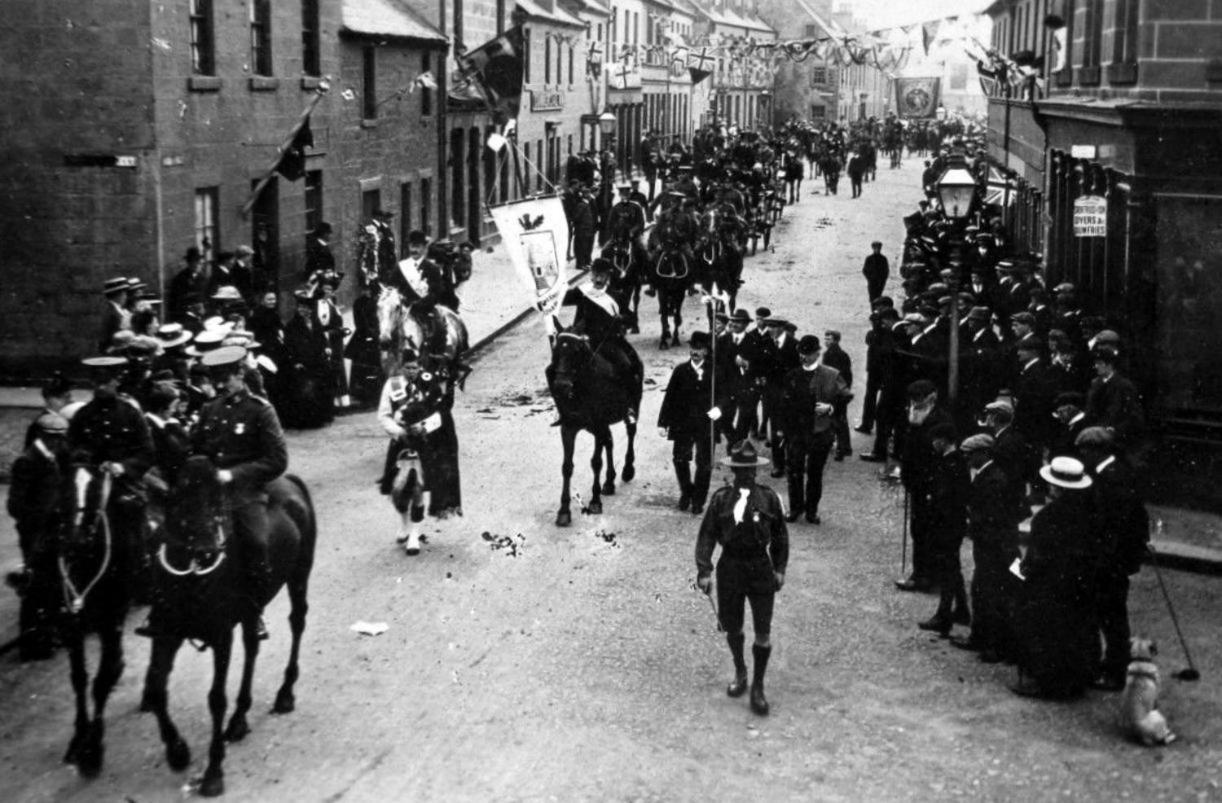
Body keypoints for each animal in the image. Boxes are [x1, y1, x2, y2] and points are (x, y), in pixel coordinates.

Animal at [139, 454, 315, 796]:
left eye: (218, 498)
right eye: (178, 500)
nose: (208, 549)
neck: (191, 577)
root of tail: (290, 481)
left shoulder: (221, 636)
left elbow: (215, 699)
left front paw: (213, 772)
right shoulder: (165, 633)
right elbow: (155, 687)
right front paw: (177, 751)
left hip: (299, 575)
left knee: (297, 622)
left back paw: (285, 693)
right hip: (250, 610)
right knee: (252, 644)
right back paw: (239, 718)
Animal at [545, 325, 640, 525]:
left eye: (576, 351)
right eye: (556, 351)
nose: (561, 385)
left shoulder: (598, 425)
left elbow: (596, 462)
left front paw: (595, 501)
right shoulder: (569, 428)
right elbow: (567, 467)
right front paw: (564, 511)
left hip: (632, 406)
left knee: (630, 432)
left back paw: (627, 469)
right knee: (609, 442)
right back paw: (609, 481)